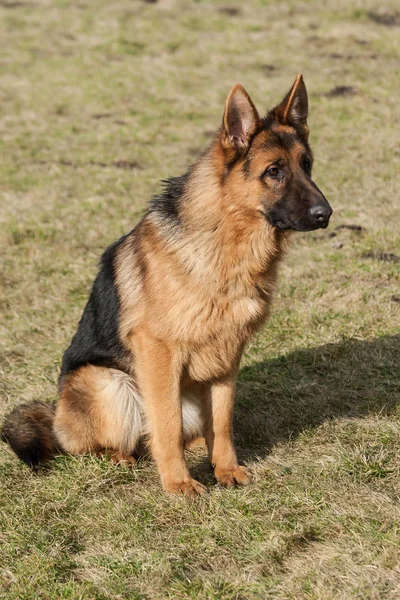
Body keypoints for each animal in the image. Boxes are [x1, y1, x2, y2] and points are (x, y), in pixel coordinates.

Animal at [2, 76, 332, 496]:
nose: (326, 214)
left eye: (306, 166)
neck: (225, 240)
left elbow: (222, 420)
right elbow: (167, 422)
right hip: (110, 383)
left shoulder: (228, 357)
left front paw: (226, 469)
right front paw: (178, 482)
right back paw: (120, 456)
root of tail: (56, 416)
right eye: (273, 171)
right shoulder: (158, 352)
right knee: (103, 442)